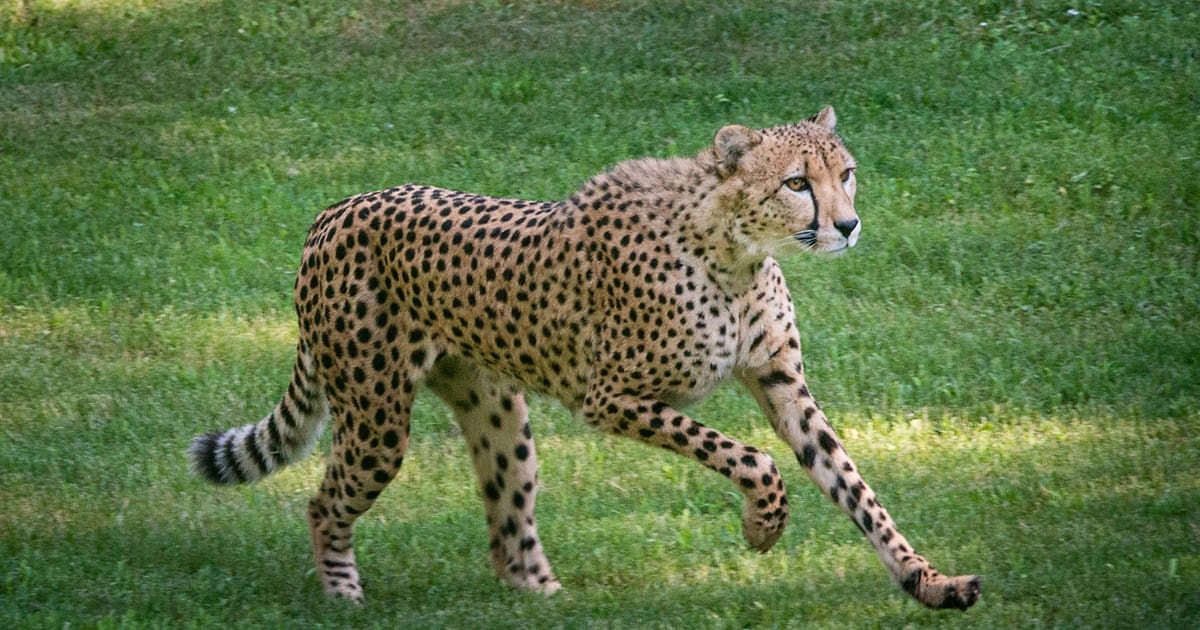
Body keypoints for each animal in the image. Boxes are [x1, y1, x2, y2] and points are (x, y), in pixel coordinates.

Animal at [189, 107, 981, 610]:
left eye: (845, 173)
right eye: (795, 183)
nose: (847, 225)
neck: (733, 251)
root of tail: (335, 209)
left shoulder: (782, 383)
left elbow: (855, 488)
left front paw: (929, 583)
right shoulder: (612, 399)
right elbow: (750, 457)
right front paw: (762, 526)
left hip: (498, 413)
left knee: (507, 532)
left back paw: (549, 599)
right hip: (378, 417)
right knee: (324, 502)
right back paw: (344, 598)